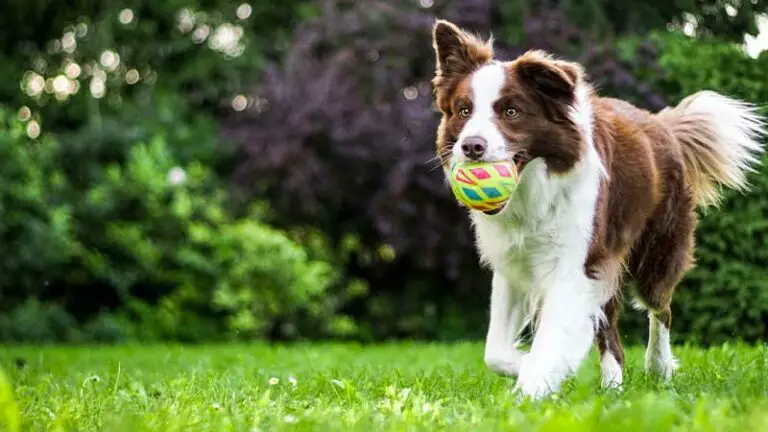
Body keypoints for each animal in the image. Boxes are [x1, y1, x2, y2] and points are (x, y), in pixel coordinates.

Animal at [428, 19, 764, 398]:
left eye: (511, 112)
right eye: (464, 110)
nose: (472, 146)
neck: (533, 191)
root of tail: (662, 124)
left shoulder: (577, 263)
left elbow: (553, 335)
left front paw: (533, 388)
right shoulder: (514, 263)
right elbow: (495, 352)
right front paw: (530, 367)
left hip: (656, 251)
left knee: (661, 308)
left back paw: (658, 367)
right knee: (611, 332)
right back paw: (613, 386)